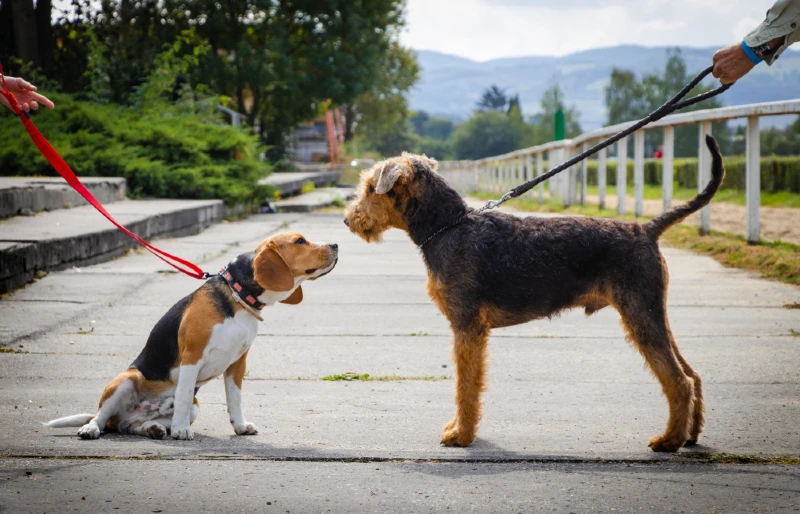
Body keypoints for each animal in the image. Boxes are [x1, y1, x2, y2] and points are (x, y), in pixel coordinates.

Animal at [43, 231, 338, 436]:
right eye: (300, 240)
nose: (336, 245)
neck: (237, 296)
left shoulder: (237, 364)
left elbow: (235, 398)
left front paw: (240, 426)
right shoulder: (192, 357)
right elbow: (183, 395)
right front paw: (182, 430)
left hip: (192, 407)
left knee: (129, 425)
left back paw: (152, 428)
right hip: (127, 379)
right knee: (102, 418)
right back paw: (92, 428)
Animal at [344, 135, 724, 448]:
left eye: (370, 188)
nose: (348, 220)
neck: (448, 227)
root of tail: (646, 229)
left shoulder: (468, 327)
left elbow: (466, 386)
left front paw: (461, 435)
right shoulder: (468, 328)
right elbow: (467, 385)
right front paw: (457, 429)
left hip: (640, 314)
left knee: (678, 380)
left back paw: (668, 440)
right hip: (652, 313)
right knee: (692, 374)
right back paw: (690, 435)